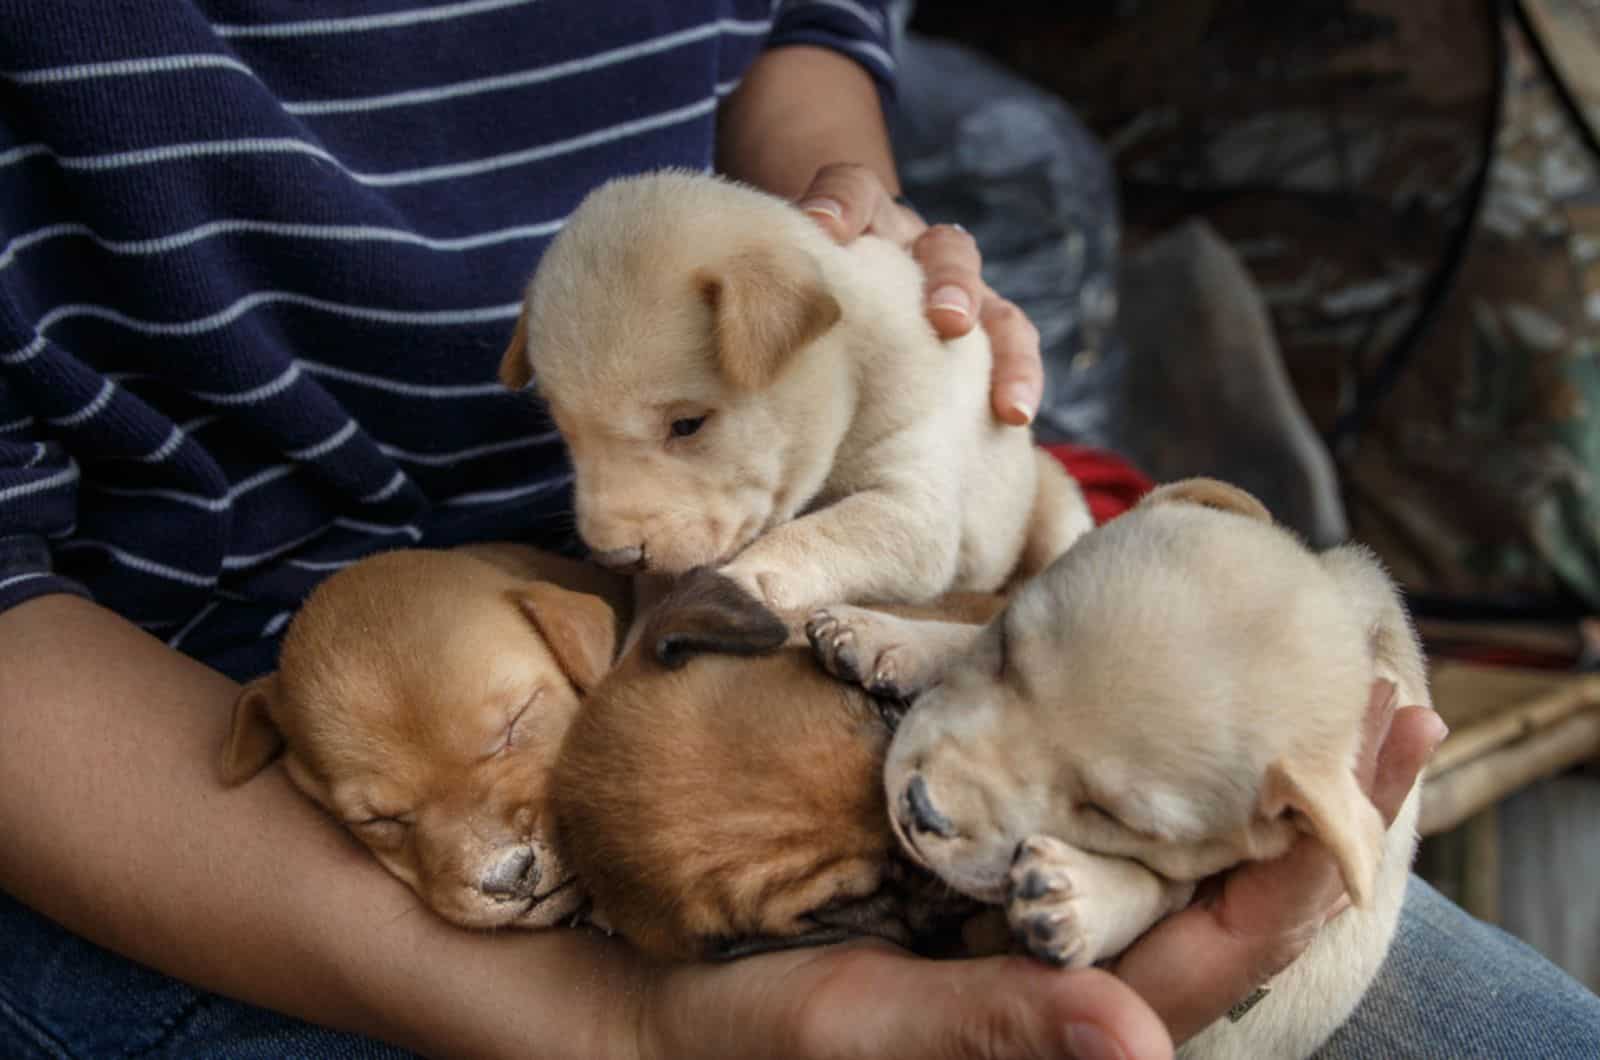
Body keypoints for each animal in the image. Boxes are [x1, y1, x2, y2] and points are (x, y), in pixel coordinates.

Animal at [492, 171, 1088, 618]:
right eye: (565, 432)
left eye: (687, 425)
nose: (614, 557)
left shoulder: (914, 503)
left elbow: (828, 532)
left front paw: (749, 577)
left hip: (1056, 504)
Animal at [812, 480, 1427, 1060]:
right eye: (1006, 649)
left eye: (1111, 816)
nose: (920, 809)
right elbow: (964, 637)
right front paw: (883, 635)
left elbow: (1158, 888)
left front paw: (1081, 898)